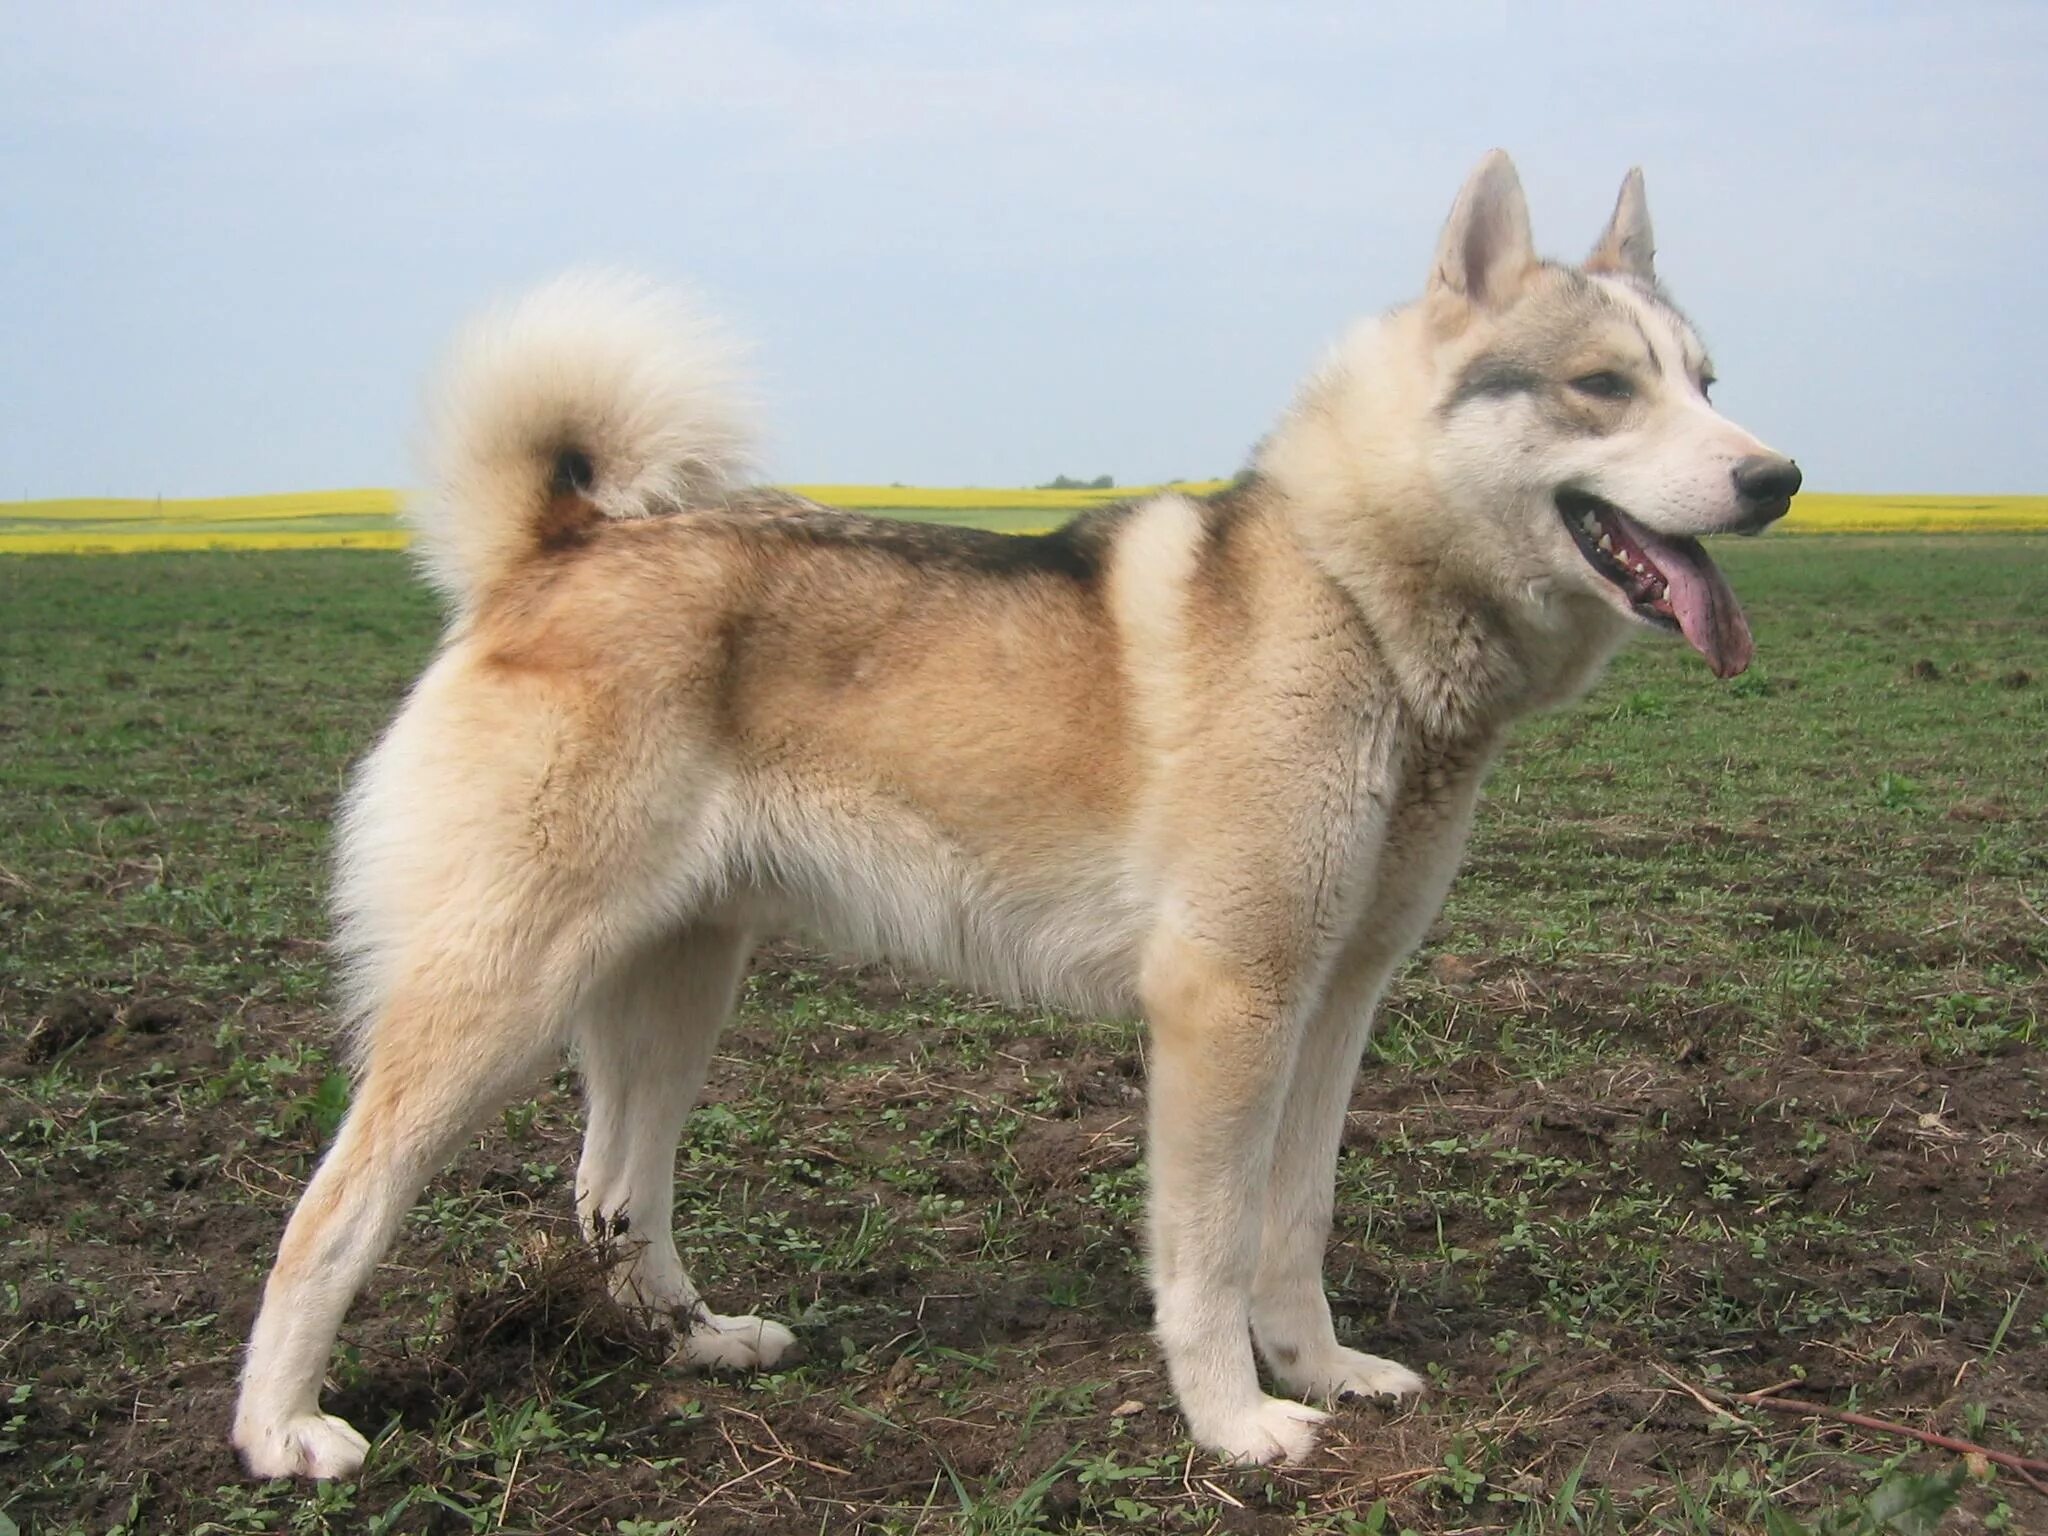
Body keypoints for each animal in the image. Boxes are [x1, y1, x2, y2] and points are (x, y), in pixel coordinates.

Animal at [228, 153, 1794, 1482]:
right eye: (1601, 386)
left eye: (1706, 381)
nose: (1775, 476)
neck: (1357, 599)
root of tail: (558, 546)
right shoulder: (1226, 1004)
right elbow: (1208, 1251)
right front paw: (1234, 1421)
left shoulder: (1336, 1000)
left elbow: (1293, 1225)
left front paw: (1320, 1371)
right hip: (500, 994)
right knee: (333, 1207)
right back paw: (279, 1428)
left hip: (673, 988)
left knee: (614, 1191)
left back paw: (695, 1348)